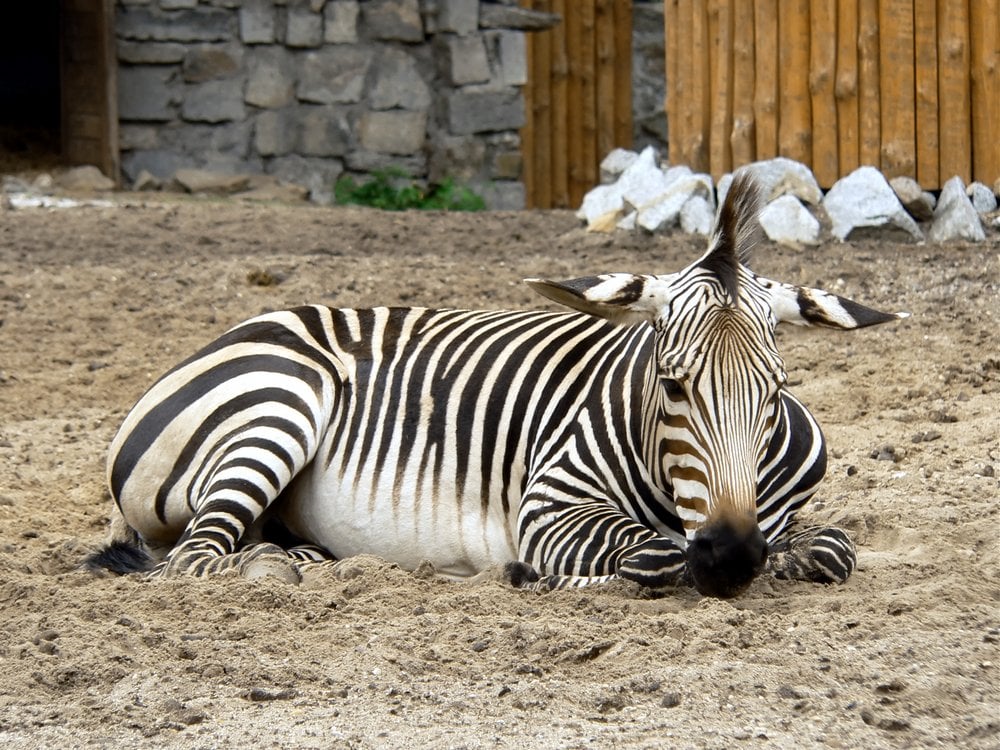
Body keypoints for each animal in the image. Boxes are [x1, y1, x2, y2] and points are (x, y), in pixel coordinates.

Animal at [86, 173, 906, 598]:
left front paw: (794, 555)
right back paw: (269, 569)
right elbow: (653, 557)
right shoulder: (549, 507)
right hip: (275, 409)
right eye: (672, 387)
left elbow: (834, 548)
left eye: (775, 391)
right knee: (197, 557)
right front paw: (532, 573)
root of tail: (234, 330)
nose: (733, 558)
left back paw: (308, 559)